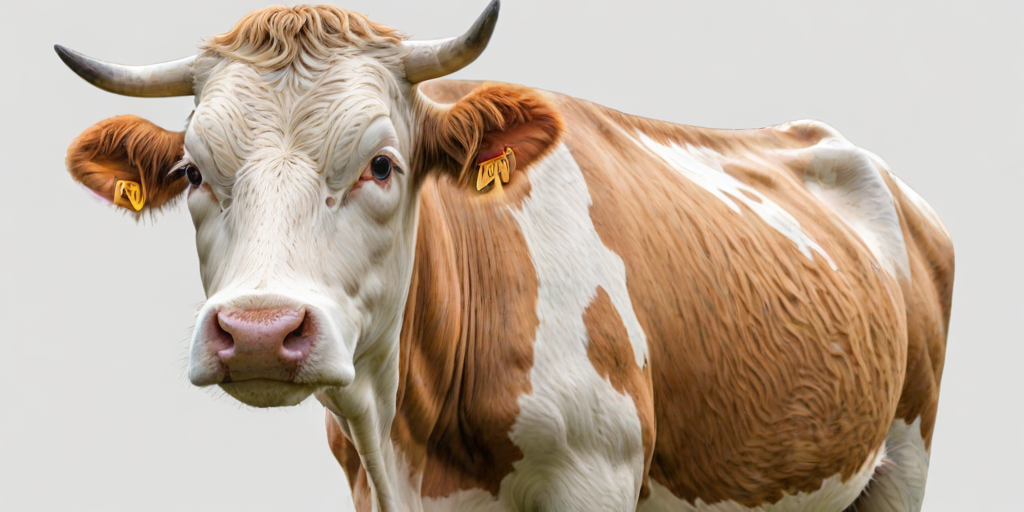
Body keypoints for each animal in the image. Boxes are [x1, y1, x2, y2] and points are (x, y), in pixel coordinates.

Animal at [55, 2, 954, 511]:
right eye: (192, 172)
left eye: (382, 164)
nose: (259, 332)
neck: (415, 436)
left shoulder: (595, 475)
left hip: (904, 455)